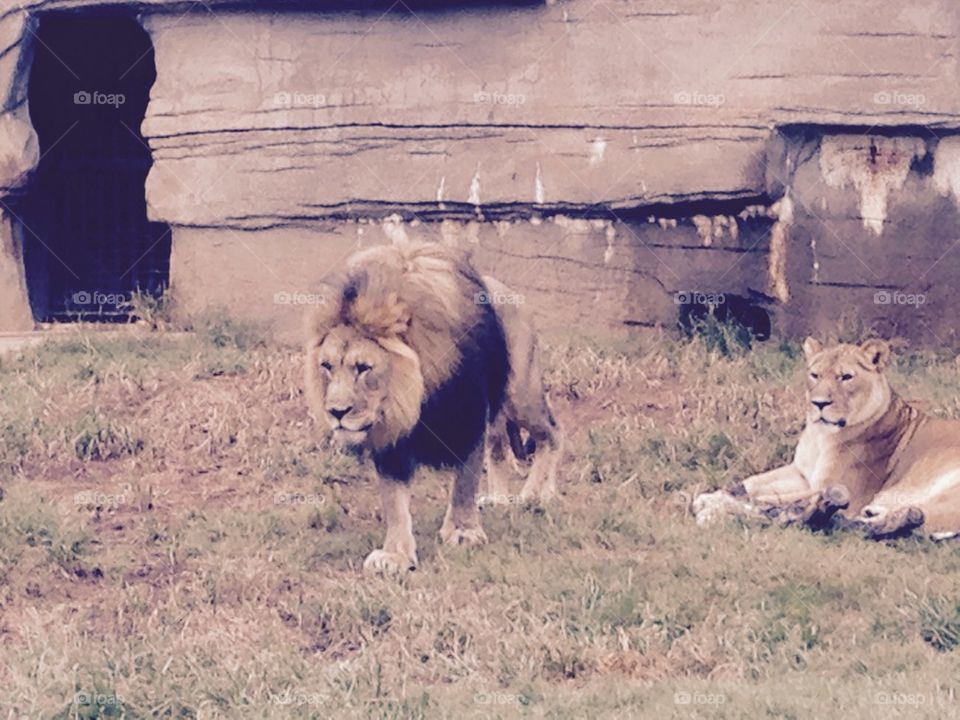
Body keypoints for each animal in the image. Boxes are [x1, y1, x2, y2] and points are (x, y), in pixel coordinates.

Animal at [305, 239, 562, 573]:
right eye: (326, 366)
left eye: (363, 368)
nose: (336, 412)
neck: (413, 397)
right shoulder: (393, 440)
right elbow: (395, 502)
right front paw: (395, 554)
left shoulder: (469, 417)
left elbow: (464, 482)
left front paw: (463, 532)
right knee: (499, 449)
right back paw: (499, 499)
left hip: (520, 394)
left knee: (553, 432)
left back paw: (538, 493)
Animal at [694, 338, 960, 539]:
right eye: (815, 375)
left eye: (846, 377)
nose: (819, 403)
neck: (819, 438)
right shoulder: (800, 473)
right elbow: (751, 482)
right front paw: (719, 493)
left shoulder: (831, 486)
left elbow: (765, 498)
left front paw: (712, 502)